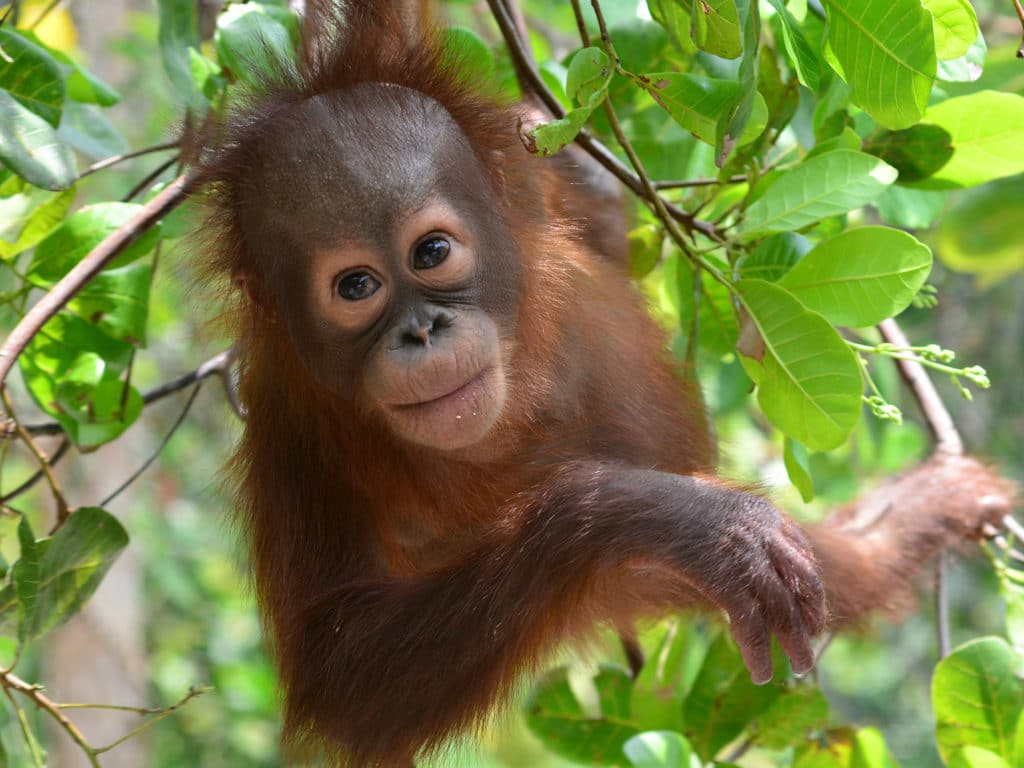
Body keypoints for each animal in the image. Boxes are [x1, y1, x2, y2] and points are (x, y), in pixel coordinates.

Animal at [193, 3, 1014, 765]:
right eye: (356, 286)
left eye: (430, 252)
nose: (421, 331)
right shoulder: (289, 421)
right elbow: (345, 670)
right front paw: (675, 519)